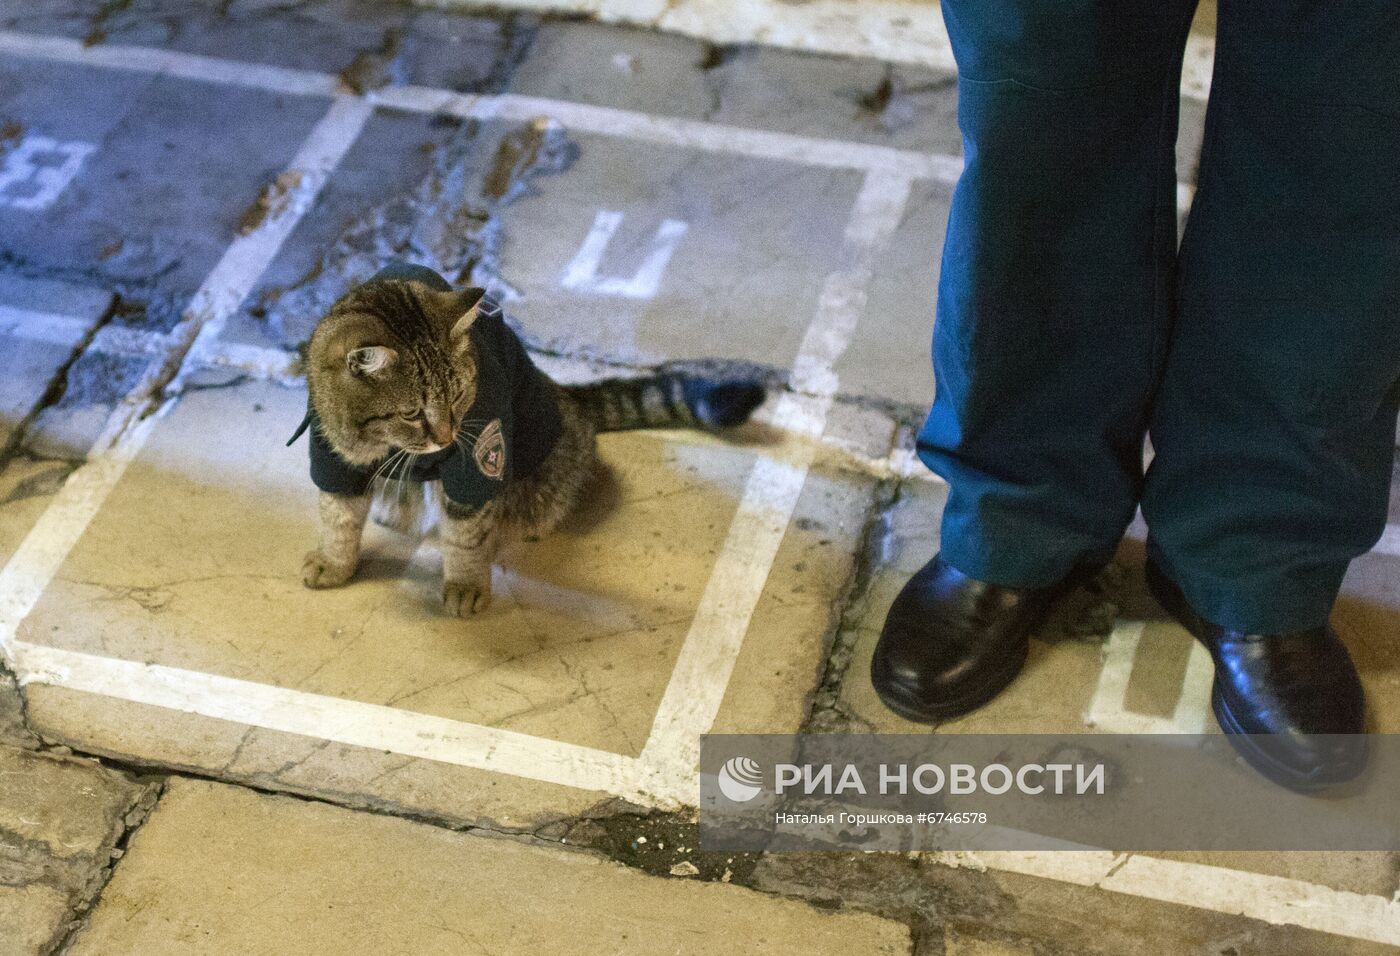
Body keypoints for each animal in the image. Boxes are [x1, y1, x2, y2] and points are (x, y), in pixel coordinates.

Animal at [292, 263, 767, 621]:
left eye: (458, 397)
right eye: (411, 414)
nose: (446, 437)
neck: (379, 442)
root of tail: (565, 394)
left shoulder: (478, 460)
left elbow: (465, 538)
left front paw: (464, 584)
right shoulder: (331, 457)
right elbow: (338, 518)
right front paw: (335, 563)